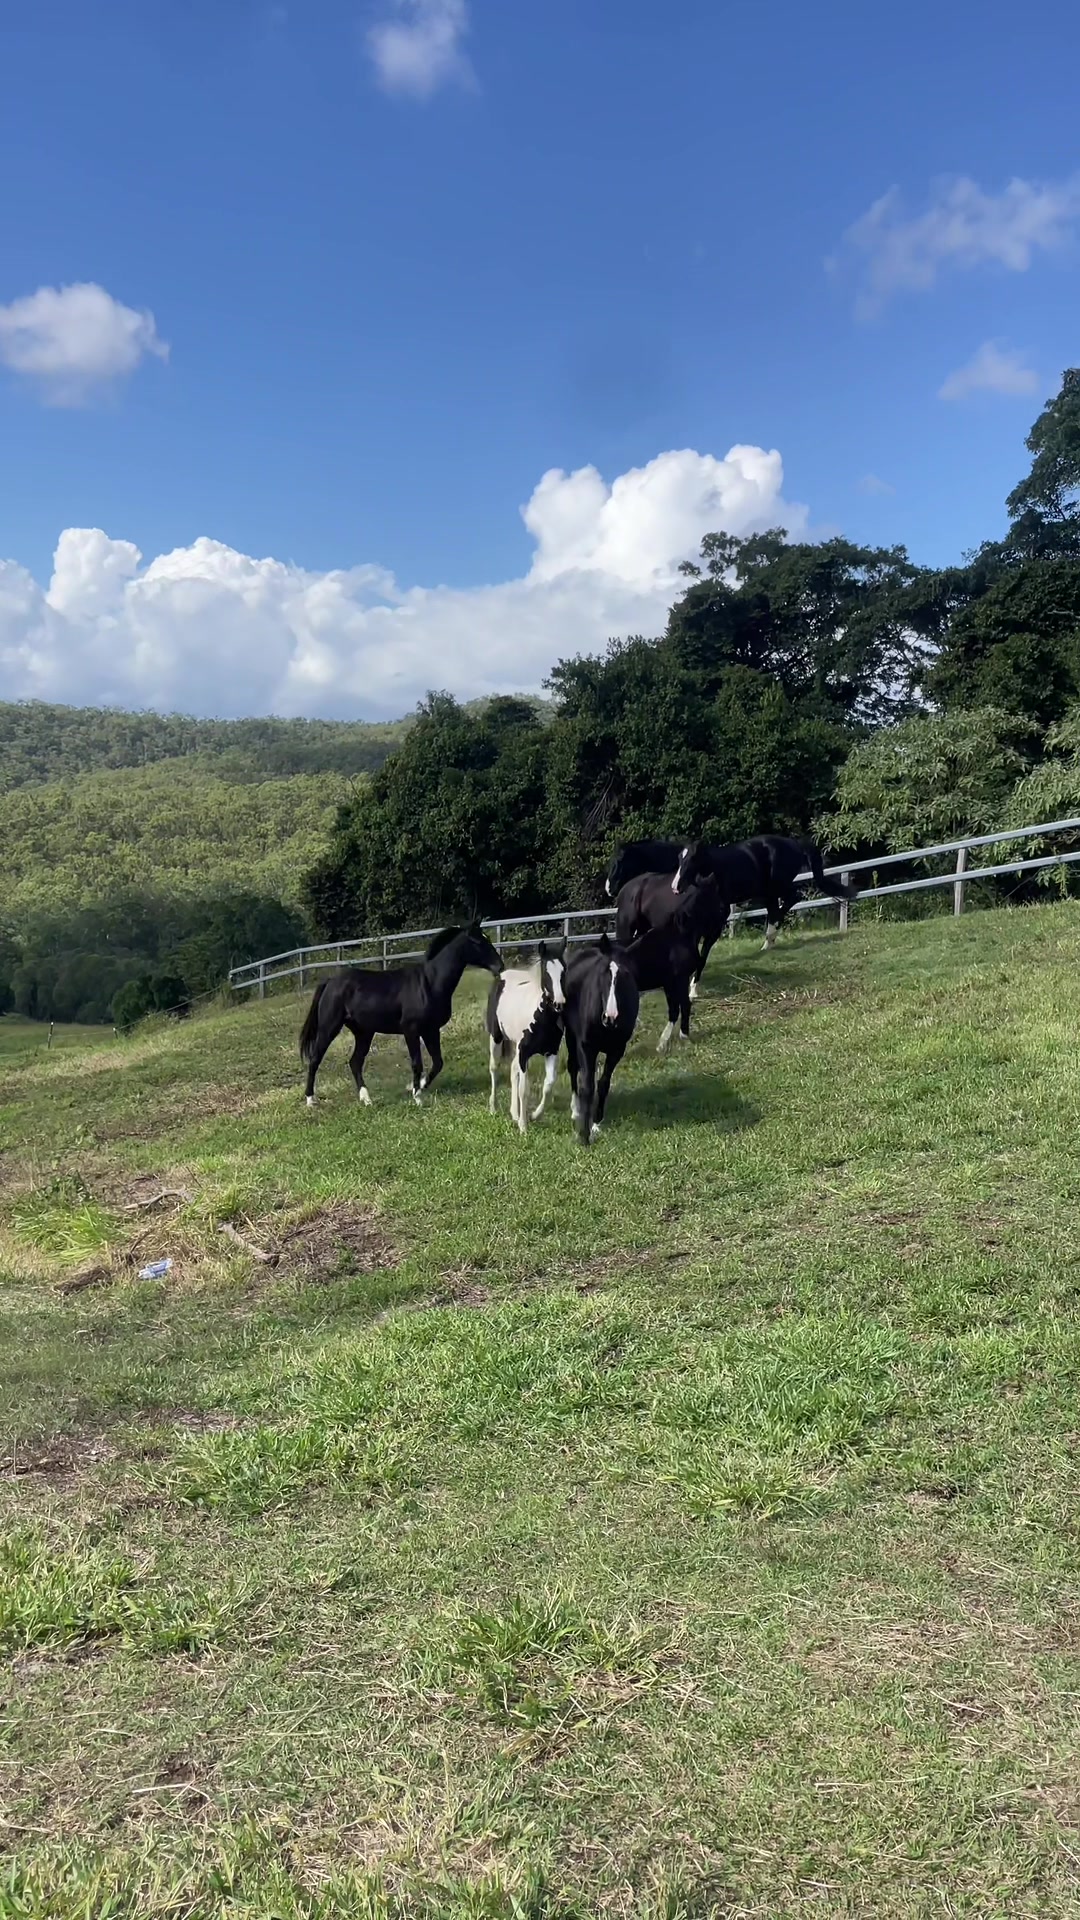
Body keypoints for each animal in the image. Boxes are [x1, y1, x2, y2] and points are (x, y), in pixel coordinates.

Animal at [299, 922, 503, 1108]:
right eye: (478, 942)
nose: (499, 966)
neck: (429, 983)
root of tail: (330, 981)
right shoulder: (411, 1030)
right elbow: (417, 1063)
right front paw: (417, 1097)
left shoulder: (431, 1030)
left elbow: (438, 1062)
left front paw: (416, 1087)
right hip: (329, 1027)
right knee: (315, 1059)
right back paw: (311, 1100)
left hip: (364, 1032)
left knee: (355, 1062)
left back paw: (367, 1100)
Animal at [486, 939, 567, 1134]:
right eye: (546, 972)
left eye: (564, 970)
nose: (559, 1003)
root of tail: (502, 974)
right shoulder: (524, 1052)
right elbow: (524, 1089)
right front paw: (523, 1128)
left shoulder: (551, 1051)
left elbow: (548, 1084)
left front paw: (533, 1116)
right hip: (496, 1038)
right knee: (494, 1068)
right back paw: (493, 1108)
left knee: (513, 1070)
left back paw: (514, 1113)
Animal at [563, 933, 640, 1145]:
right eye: (603, 974)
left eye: (626, 975)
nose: (610, 1017)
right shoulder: (586, 1046)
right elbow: (587, 1086)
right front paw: (583, 1135)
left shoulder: (617, 1049)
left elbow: (604, 1083)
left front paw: (596, 1123)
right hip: (570, 1035)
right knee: (573, 1067)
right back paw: (576, 1110)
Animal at [615, 871, 729, 1001]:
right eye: (716, 899)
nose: (724, 913)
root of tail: (624, 890)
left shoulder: (710, 935)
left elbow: (701, 960)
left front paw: (693, 991)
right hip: (626, 929)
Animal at [672, 836, 857, 948]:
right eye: (680, 858)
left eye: (692, 859)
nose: (675, 887)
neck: (715, 869)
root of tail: (795, 844)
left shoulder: (722, 907)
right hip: (769, 892)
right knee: (778, 907)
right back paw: (769, 942)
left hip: (776, 887)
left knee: (790, 900)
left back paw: (770, 938)